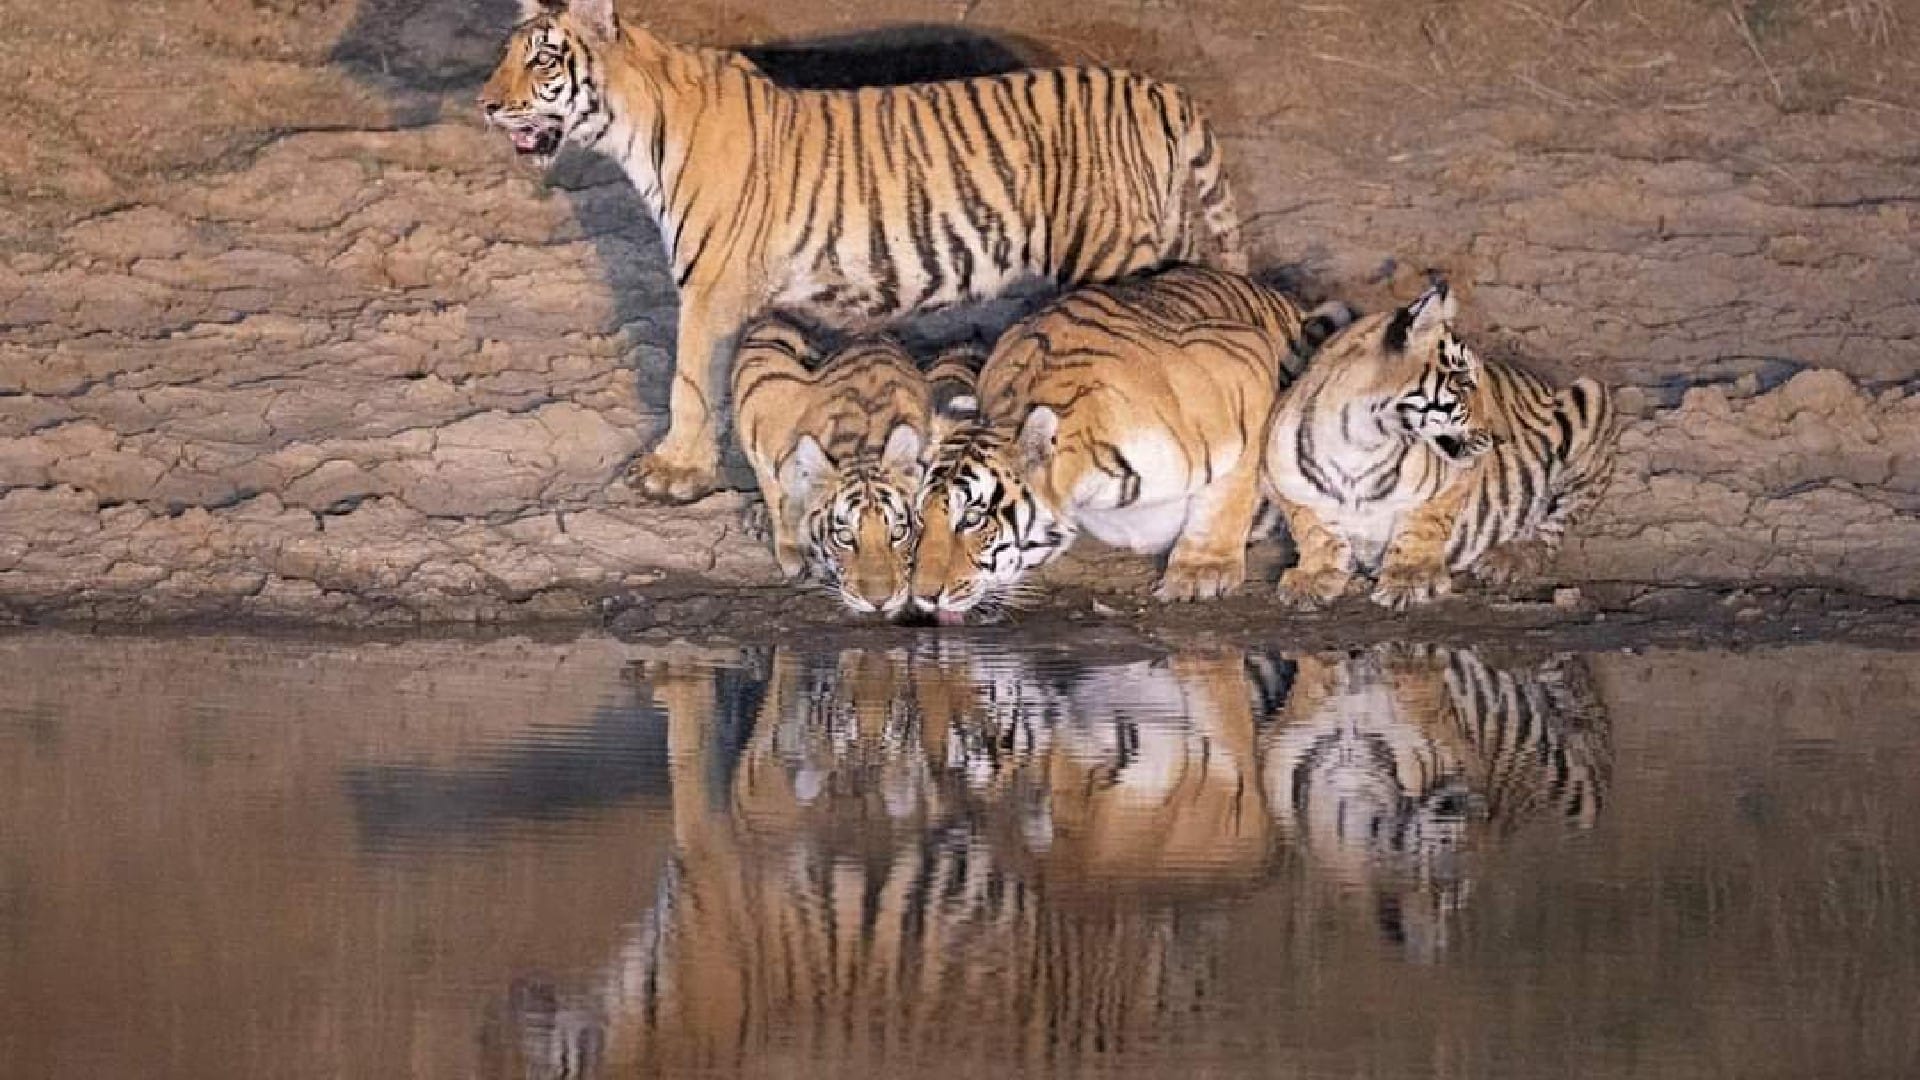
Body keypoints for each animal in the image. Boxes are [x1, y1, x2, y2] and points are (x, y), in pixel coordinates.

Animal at [480, 0, 1248, 505]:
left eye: (543, 58)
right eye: (503, 55)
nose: (486, 105)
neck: (635, 127)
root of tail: (1162, 91)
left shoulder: (708, 288)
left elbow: (689, 380)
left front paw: (674, 473)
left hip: (1115, 256)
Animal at [731, 316, 979, 616]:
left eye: (899, 533)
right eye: (845, 537)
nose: (879, 602)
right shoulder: (759, 392)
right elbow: (775, 494)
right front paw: (792, 553)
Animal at [907, 265, 1348, 624]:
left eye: (972, 519)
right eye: (920, 518)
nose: (923, 598)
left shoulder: (1245, 363)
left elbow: (1231, 491)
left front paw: (1202, 570)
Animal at [1262, 280, 1620, 610]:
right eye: (1463, 382)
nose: (1502, 436)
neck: (1359, 444)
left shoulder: (1453, 483)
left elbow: (1423, 526)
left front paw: (1411, 579)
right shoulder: (1282, 485)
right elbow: (1314, 530)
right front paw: (1313, 578)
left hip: (1591, 398)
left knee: (1553, 525)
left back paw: (1507, 559)